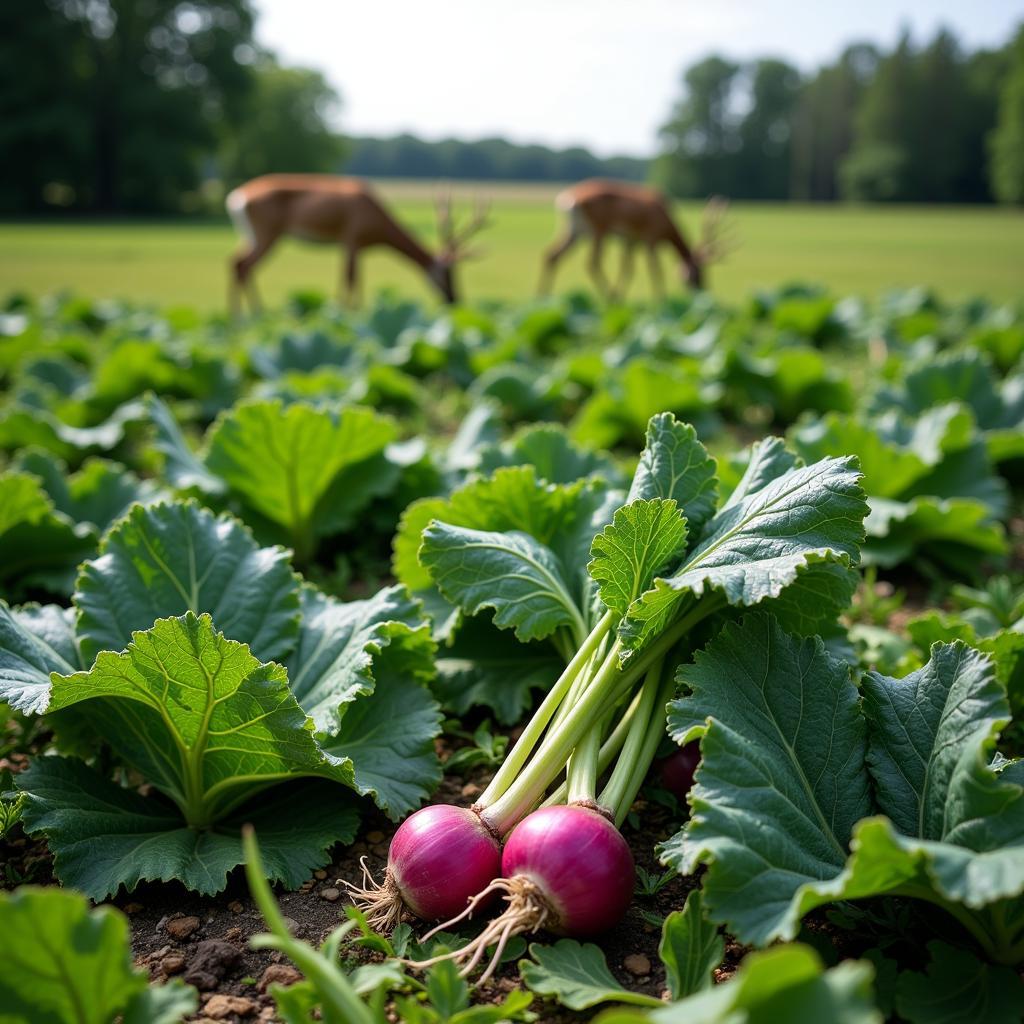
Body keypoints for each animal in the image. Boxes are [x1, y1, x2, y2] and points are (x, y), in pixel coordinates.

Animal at [228, 176, 491, 313]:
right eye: (448, 273)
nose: (454, 299)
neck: (374, 215)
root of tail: (237, 197)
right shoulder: (351, 239)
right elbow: (350, 278)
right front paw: (344, 313)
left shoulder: (358, 247)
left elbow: (357, 280)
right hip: (267, 234)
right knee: (244, 265)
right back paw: (254, 314)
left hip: (251, 235)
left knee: (235, 262)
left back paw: (239, 316)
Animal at [540, 180, 733, 299]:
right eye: (698, 275)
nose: (702, 291)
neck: (666, 222)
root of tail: (568, 199)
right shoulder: (650, 238)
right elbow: (655, 270)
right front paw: (661, 299)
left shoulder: (631, 241)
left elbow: (628, 268)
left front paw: (622, 295)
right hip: (599, 229)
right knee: (592, 262)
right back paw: (610, 296)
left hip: (575, 231)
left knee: (552, 255)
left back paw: (541, 296)